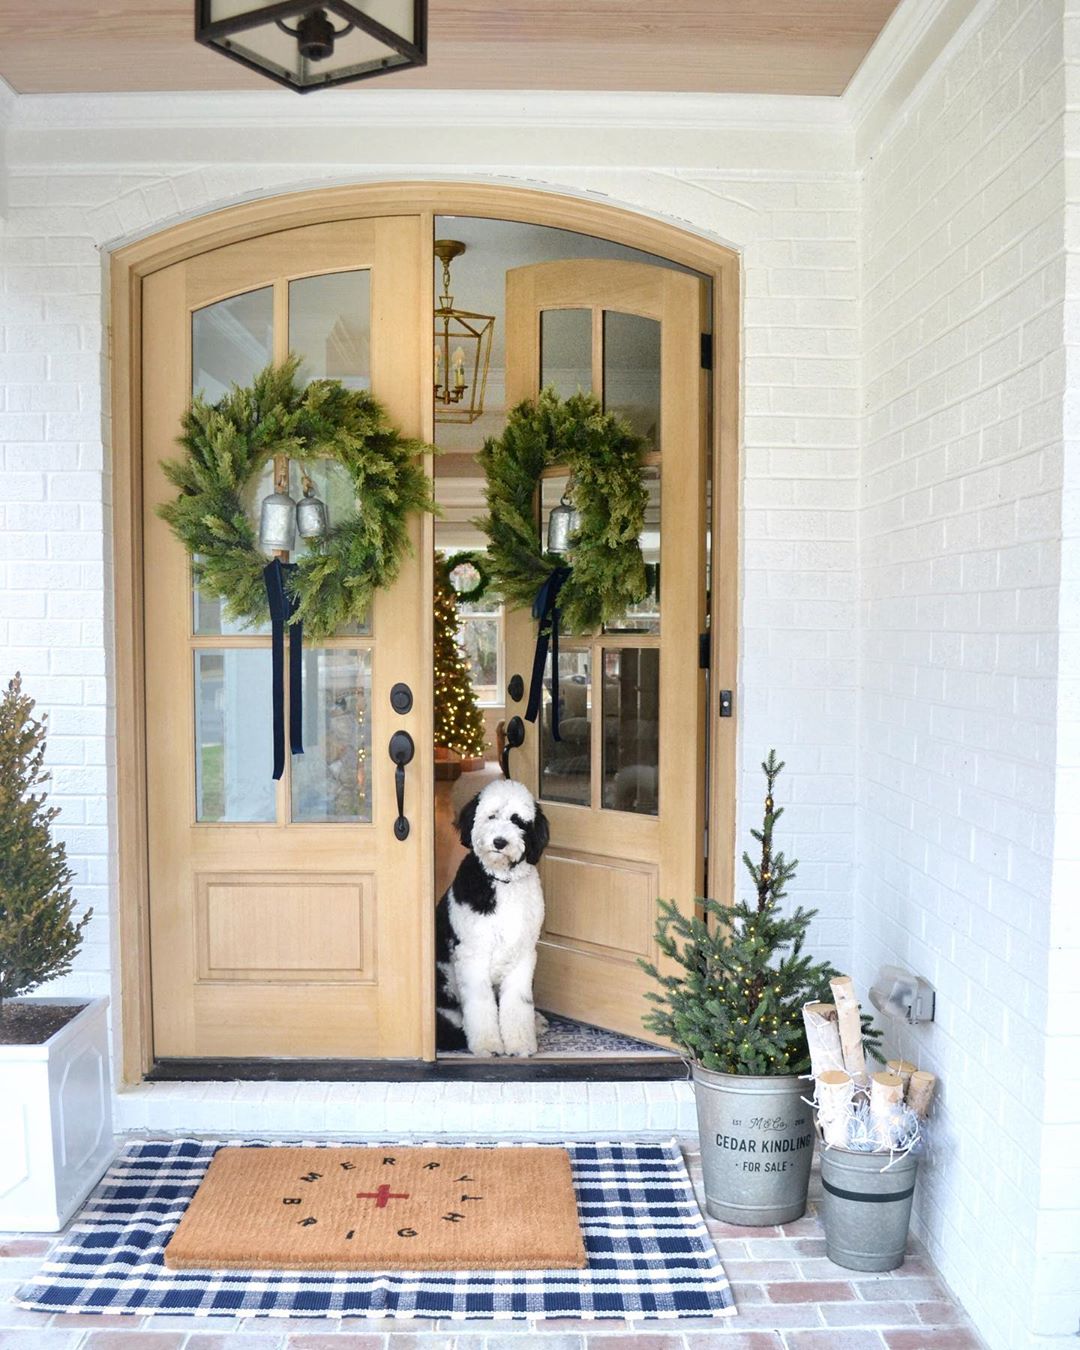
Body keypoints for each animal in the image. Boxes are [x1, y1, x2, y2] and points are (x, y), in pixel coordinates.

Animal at [437, 783, 553, 1053]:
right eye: (491, 816)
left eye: (517, 820)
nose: (500, 842)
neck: (503, 882)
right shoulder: (472, 955)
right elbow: (480, 1004)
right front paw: (488, 1044)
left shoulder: (523, 955)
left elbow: (518, 1003)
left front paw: (520, 1043)